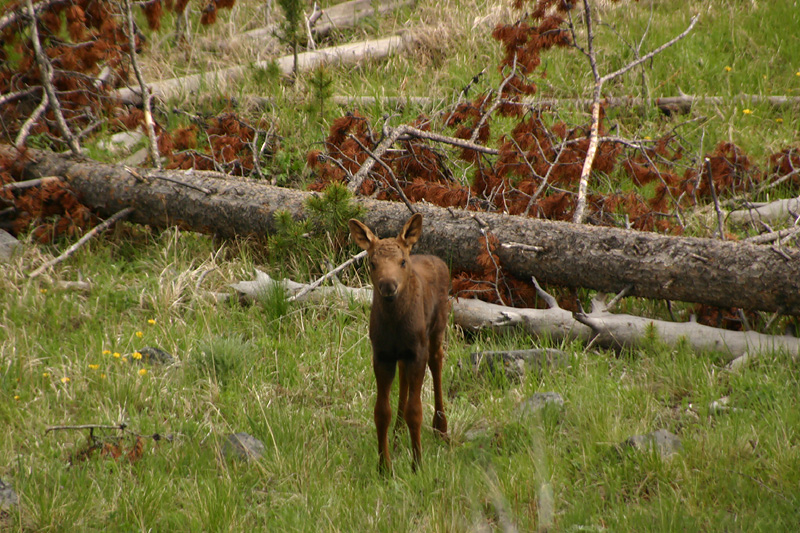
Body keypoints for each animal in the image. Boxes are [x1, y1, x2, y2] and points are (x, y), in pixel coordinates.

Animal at [348, 214, 454, 472]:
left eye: (402, 262)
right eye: (372, 263)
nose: (388, 286)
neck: (395, 324)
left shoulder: (417, 352)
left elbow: (415, 411)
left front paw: (417, 465)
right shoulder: (382, 355)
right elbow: (381, 412)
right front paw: (383, 467)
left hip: (437, 330)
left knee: (437, 363)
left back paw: (441, 429)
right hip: (403, 355)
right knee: (404, 381)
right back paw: (397, 436)